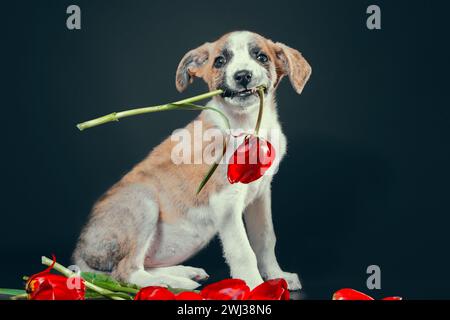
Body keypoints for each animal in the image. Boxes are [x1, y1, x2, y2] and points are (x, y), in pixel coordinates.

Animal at [74, 30, 312, 290]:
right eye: (220, 61)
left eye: (261, 57)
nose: (242, 76)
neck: (249, 124)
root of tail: (78, 253)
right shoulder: (225, 201)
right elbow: (242, 250)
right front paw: (254, 285)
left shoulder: (260, 194)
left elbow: (265, 237)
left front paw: (277, 275)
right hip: (143, 201)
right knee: (127, 272)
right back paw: (172, 283)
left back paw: (184, 272)